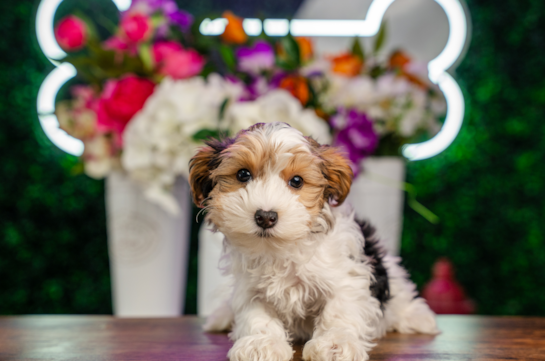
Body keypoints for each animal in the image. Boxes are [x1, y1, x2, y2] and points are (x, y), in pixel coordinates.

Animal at [189, 122, 436, 358]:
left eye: (297, 181)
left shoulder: (347, 276)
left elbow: (339, 311)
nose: (266, 217)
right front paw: (261, 344)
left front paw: (336, 344)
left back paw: (417, 318)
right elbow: (257, 315)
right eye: (243, 175)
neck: (281, 248)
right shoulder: (251, 289)